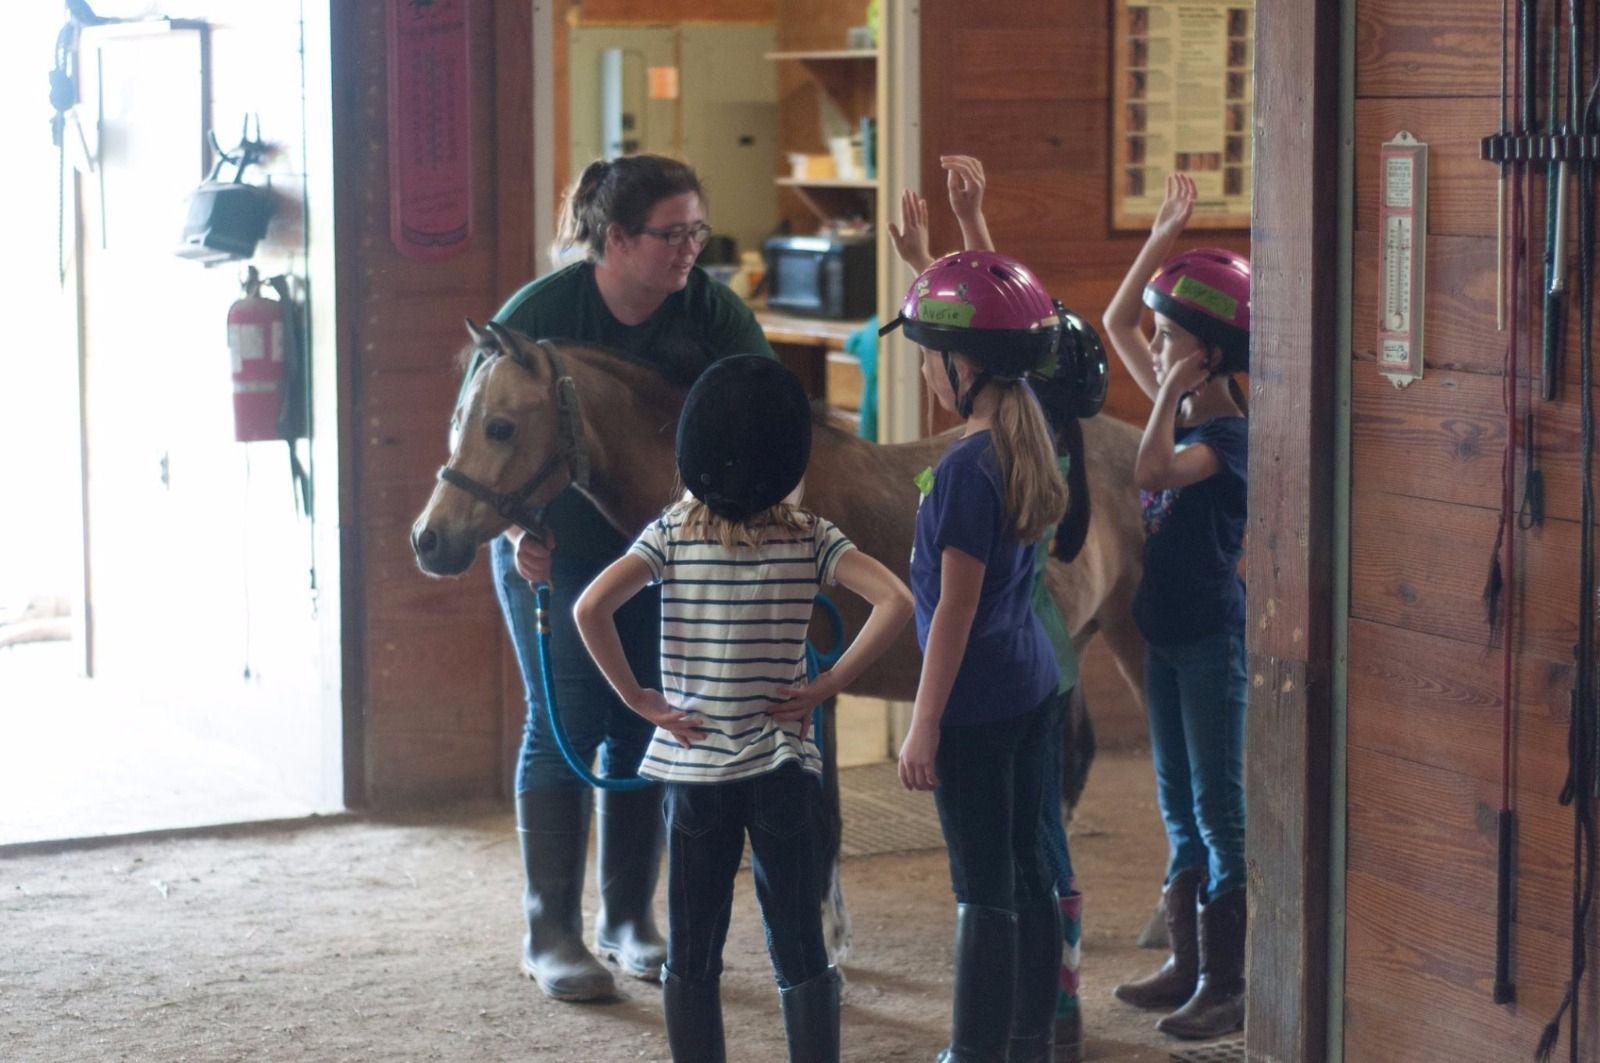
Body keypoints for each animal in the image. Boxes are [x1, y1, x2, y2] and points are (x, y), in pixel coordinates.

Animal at [410, 322, 1148, 960]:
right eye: (456, 421)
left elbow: (820, 814)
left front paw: (826, 935)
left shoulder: (809, 687)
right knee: (1070, 763)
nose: (429, 539)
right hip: (1073, 649)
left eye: (500, 426)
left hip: (1132, 642)